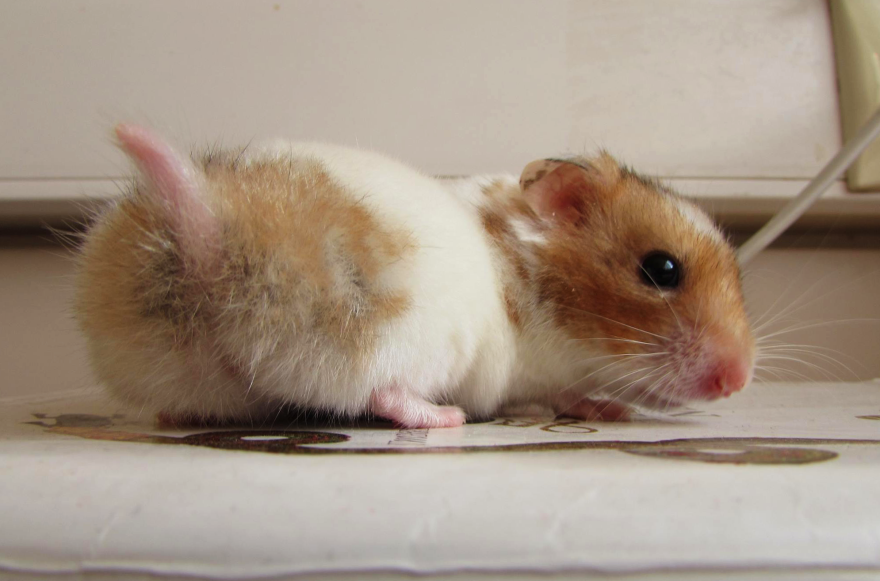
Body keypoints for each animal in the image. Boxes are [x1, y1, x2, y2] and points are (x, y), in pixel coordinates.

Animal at [75, 124, 755, 428]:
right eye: (662, 269)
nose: (739, 380)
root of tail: (210, 240)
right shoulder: (525, 376)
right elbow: (553, 394)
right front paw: (600, 406)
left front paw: (608, 406)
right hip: (399, 341)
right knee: (384, 394)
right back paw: (444, 417)